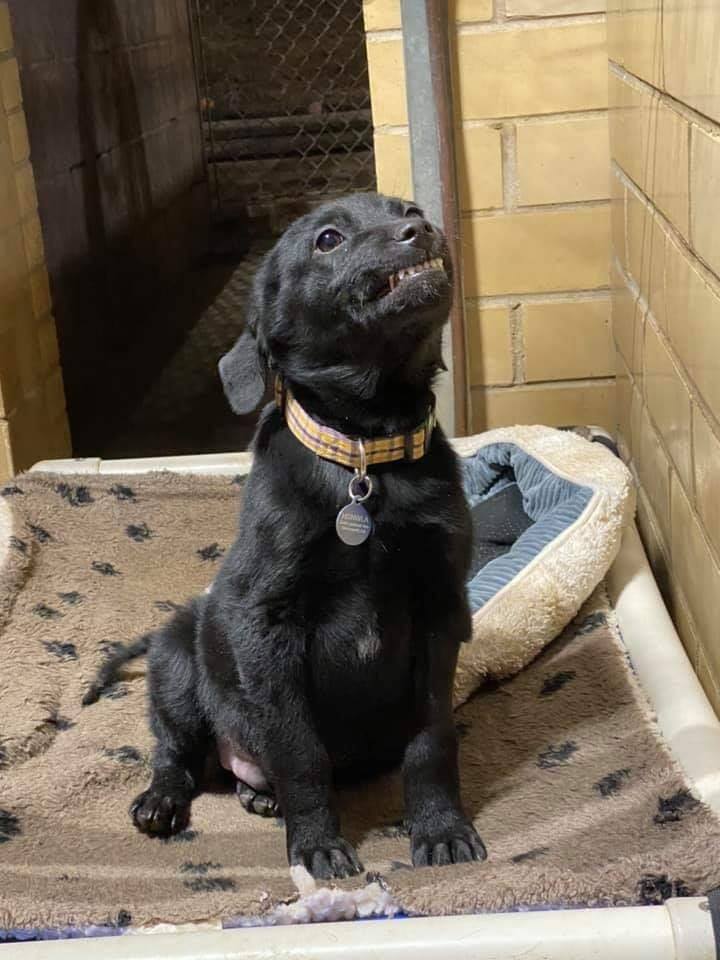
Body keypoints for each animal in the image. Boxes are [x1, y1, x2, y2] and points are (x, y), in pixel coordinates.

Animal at [87, 193, 486, 876]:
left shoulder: (439, 612)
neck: (365, 457)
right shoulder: (267, 626)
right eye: (328, 239)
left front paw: (440, 830)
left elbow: (431, 741)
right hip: (176, 658)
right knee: (175, 752)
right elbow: (300, 753)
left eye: (406, 207)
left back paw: (257, 795)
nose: (421, 227)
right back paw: (163, 802)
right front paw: (318, 847)